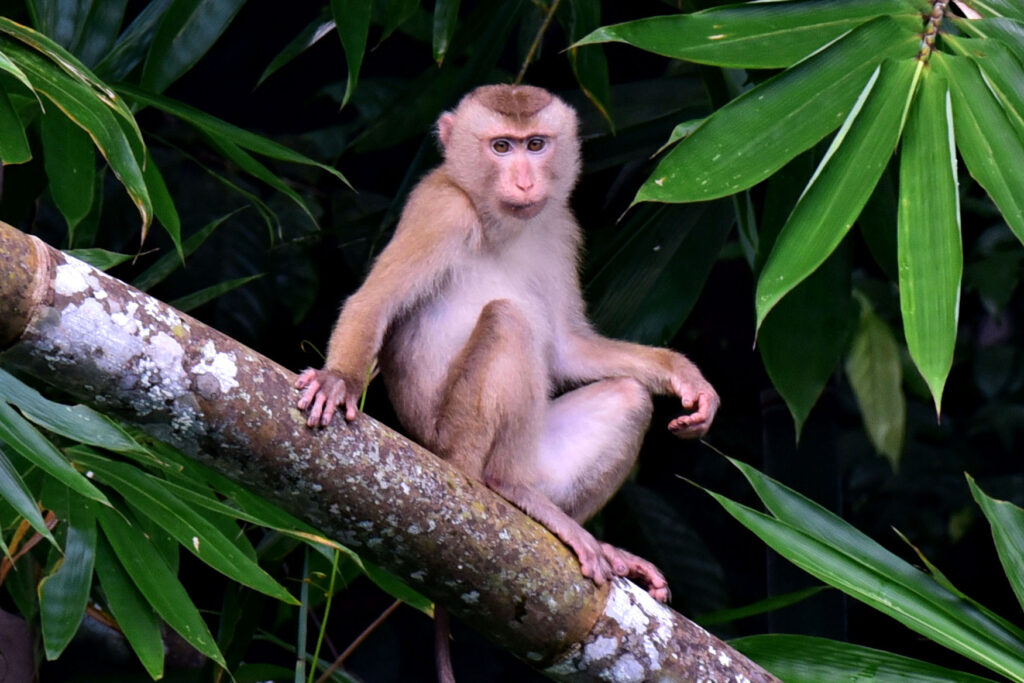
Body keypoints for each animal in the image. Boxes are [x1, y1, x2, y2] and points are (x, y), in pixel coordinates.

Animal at [296, 84, 719, 602]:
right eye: (501, 147)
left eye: (535, 145)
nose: (524, 182)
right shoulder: (441, 208)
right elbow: (372, 302)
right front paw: (338, 380)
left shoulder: (560, 227)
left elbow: (567, 348)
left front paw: (682, 373)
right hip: (457, 444)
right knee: (508, 321)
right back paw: (502, 486)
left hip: (540, 464)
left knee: (627, 396)